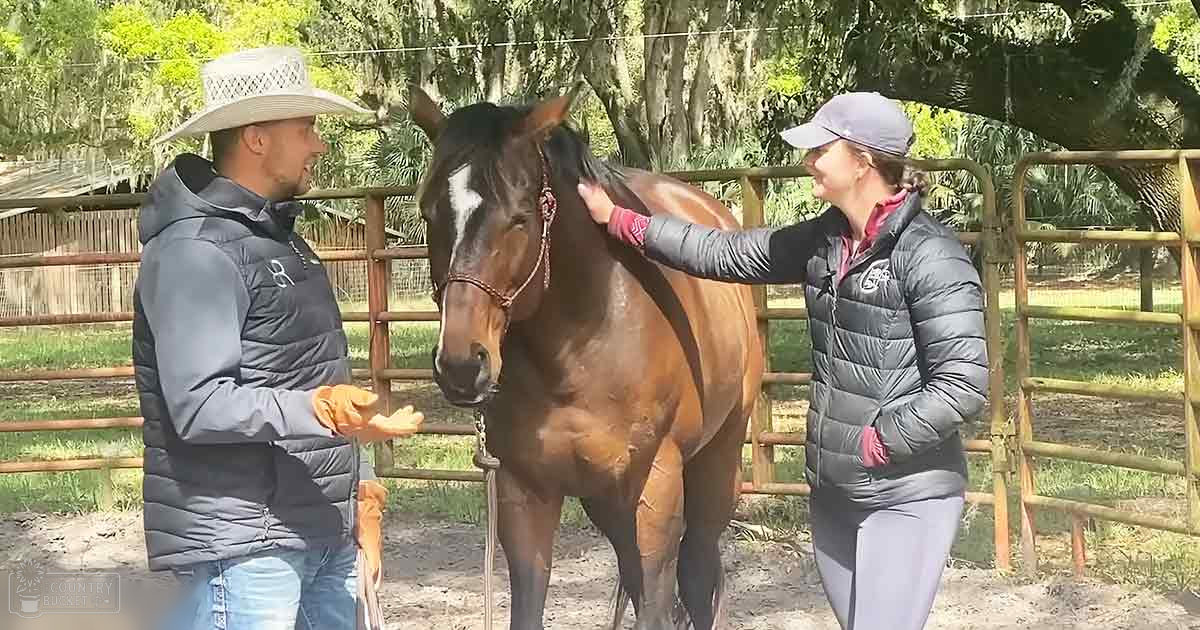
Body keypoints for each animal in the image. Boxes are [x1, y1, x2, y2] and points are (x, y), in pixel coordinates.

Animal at [407, 82, 765, 630]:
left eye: (519, 218)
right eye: (429, 212)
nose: (463, 366)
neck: (578, 350)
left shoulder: (655, 489)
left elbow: (657, 604)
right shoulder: (524, 495)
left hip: (714, 466)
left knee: (699, 570)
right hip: (607, 500)